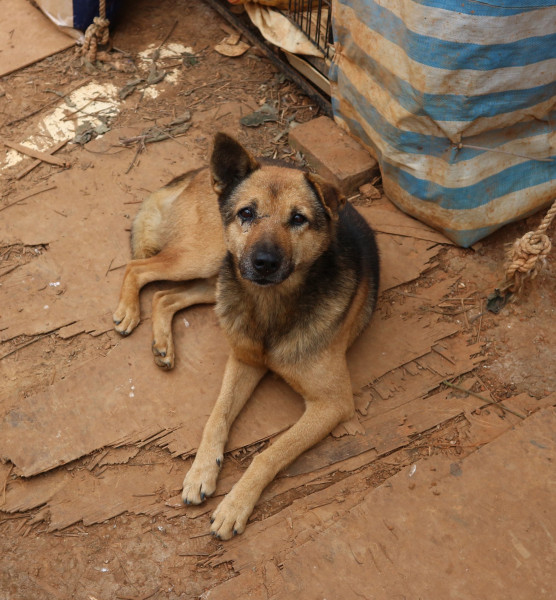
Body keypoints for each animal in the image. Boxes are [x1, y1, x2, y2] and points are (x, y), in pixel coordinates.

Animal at [114, 132, 380, 540]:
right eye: (247, 214)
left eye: (298, 219)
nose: (264, 263)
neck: (270, 307)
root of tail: (199, 172)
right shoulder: (243, 361)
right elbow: (217, 416)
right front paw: (201, 471)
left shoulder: (332, 404)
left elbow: (270, 452)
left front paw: (234, 504)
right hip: (209, 257)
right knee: (138, 267)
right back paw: (129, 310)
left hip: (218, 273)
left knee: (164, 295)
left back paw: (162, 343)